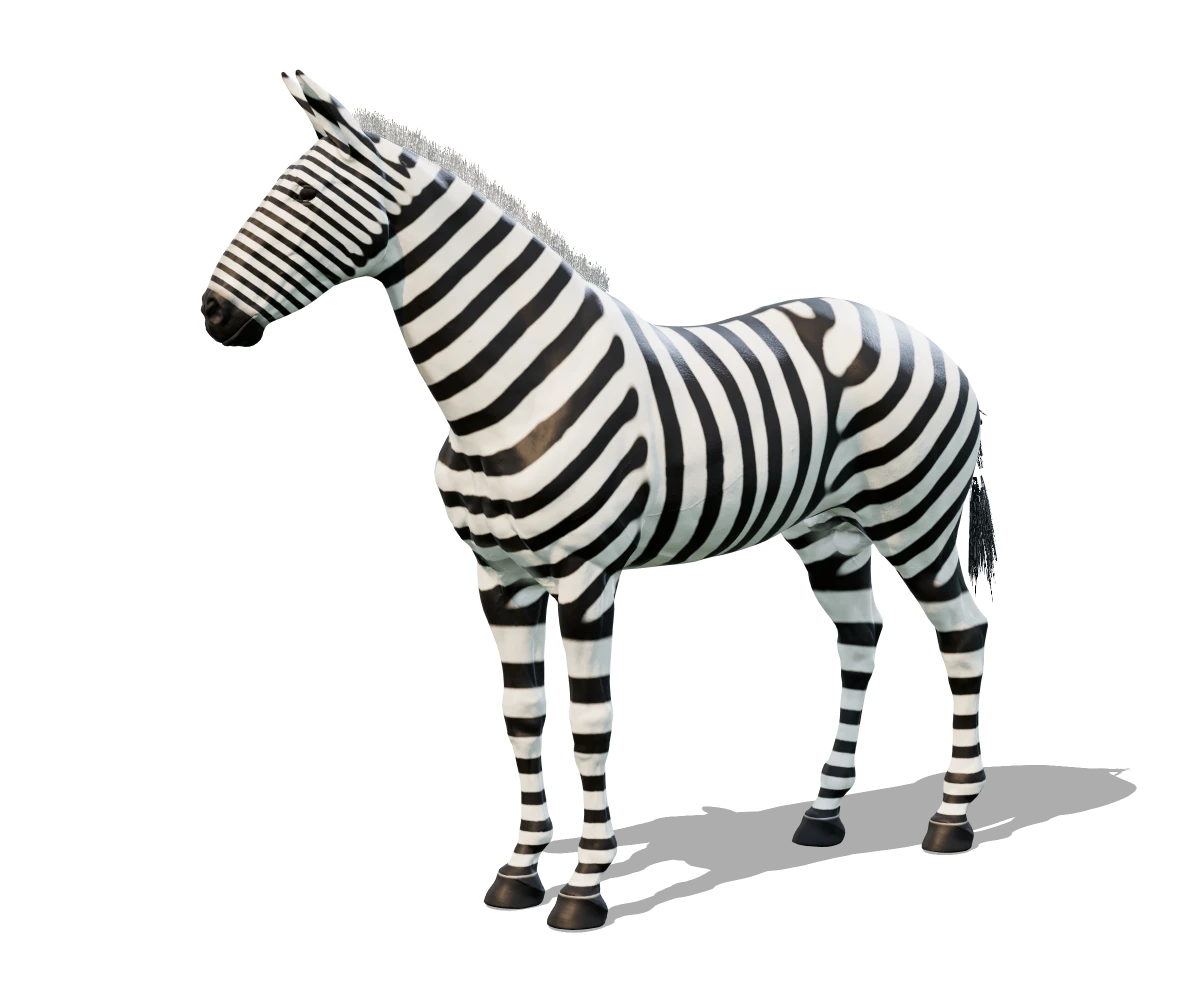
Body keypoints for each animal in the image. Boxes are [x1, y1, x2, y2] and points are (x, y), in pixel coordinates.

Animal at [202, 72, 998, 927]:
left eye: (306, 196)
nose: (209, 314)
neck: (514, 379)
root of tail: (916, 333)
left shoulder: (584, 577)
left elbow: (589, 722)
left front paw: (583, 889)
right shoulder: (497, 577)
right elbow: (522, 719)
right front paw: (518, 874)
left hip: (916, 520)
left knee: (963, 637)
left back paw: (950, 820)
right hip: (833, 534)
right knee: (858, 642)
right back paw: (822, 815)